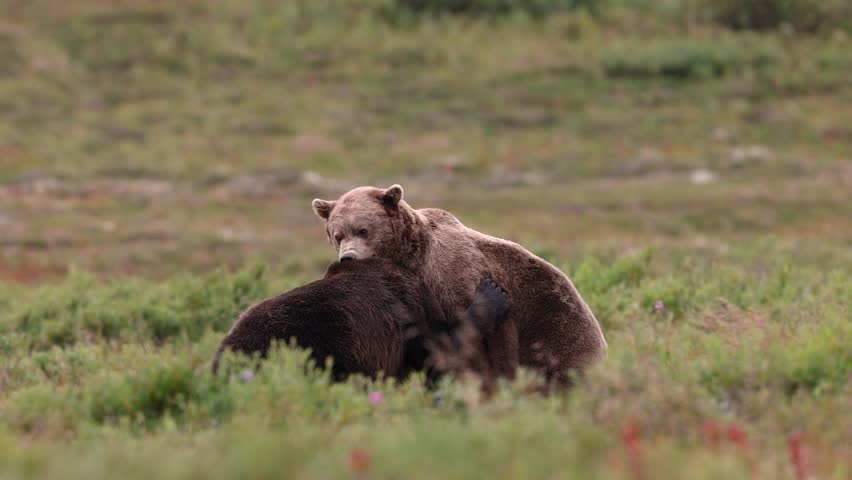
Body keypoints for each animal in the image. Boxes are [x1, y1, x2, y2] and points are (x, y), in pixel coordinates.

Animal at [311, 185, 607, 389]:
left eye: (363, 230)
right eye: (337, 235)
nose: (348, 257)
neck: (413, 257)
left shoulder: (458, 274)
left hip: (559, 326)